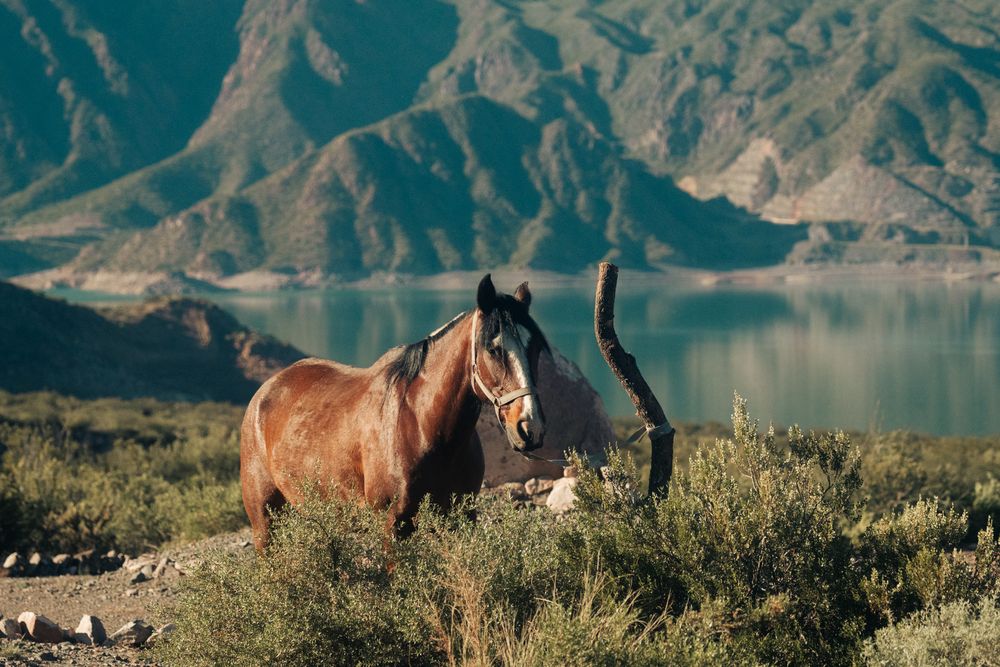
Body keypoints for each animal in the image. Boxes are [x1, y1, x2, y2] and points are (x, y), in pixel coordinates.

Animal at [240, 274, 549, 551]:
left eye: (535, 347)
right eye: (493, 349)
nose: (529, 427)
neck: (423, 426)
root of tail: (266, 390)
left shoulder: (461, 518)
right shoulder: (393, 524)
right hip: (264, 521)